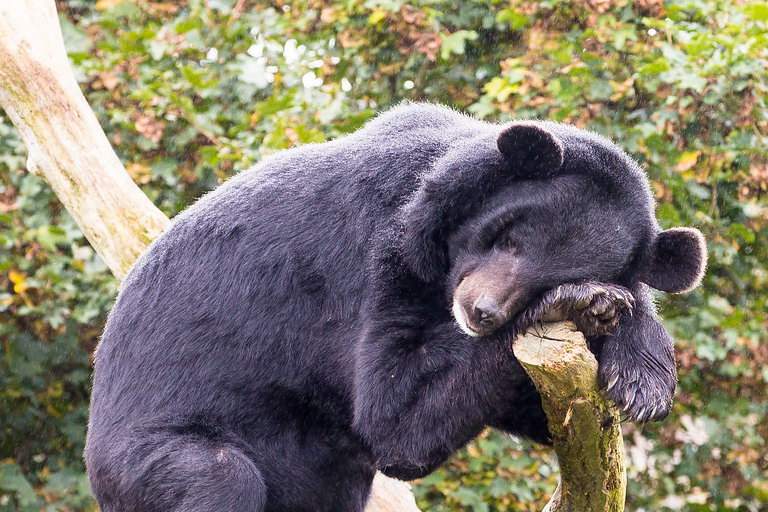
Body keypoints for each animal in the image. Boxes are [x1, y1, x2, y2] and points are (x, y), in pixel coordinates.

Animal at [85, 102, 708, 510]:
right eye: (508, 237)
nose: (481, 311)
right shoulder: (374, 257)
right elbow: (395, 419)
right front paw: (589, 307)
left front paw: (642, 378)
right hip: (146, 455)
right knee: (214, 478)